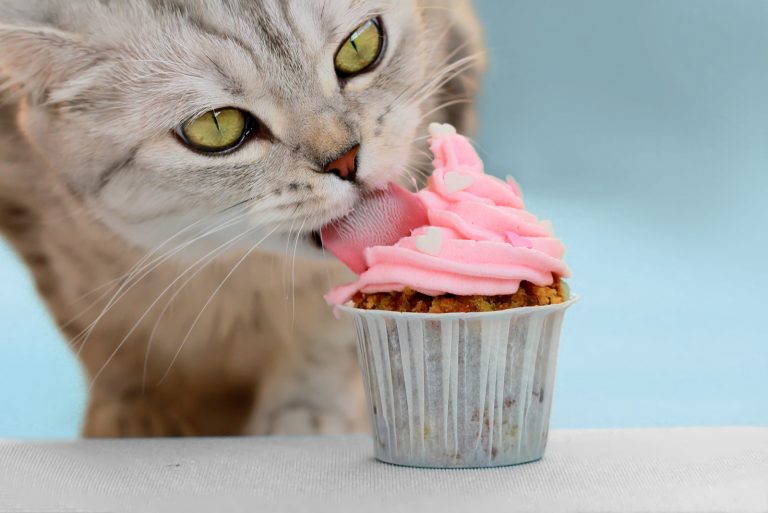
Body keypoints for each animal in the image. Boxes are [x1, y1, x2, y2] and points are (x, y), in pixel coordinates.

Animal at [0, 0, 480, 436]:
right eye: (216, 126)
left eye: (360, 46)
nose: (344, 159)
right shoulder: (49, 248)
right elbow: (112, 353)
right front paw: (138, 421)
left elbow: (328, 346)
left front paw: (304, 420)